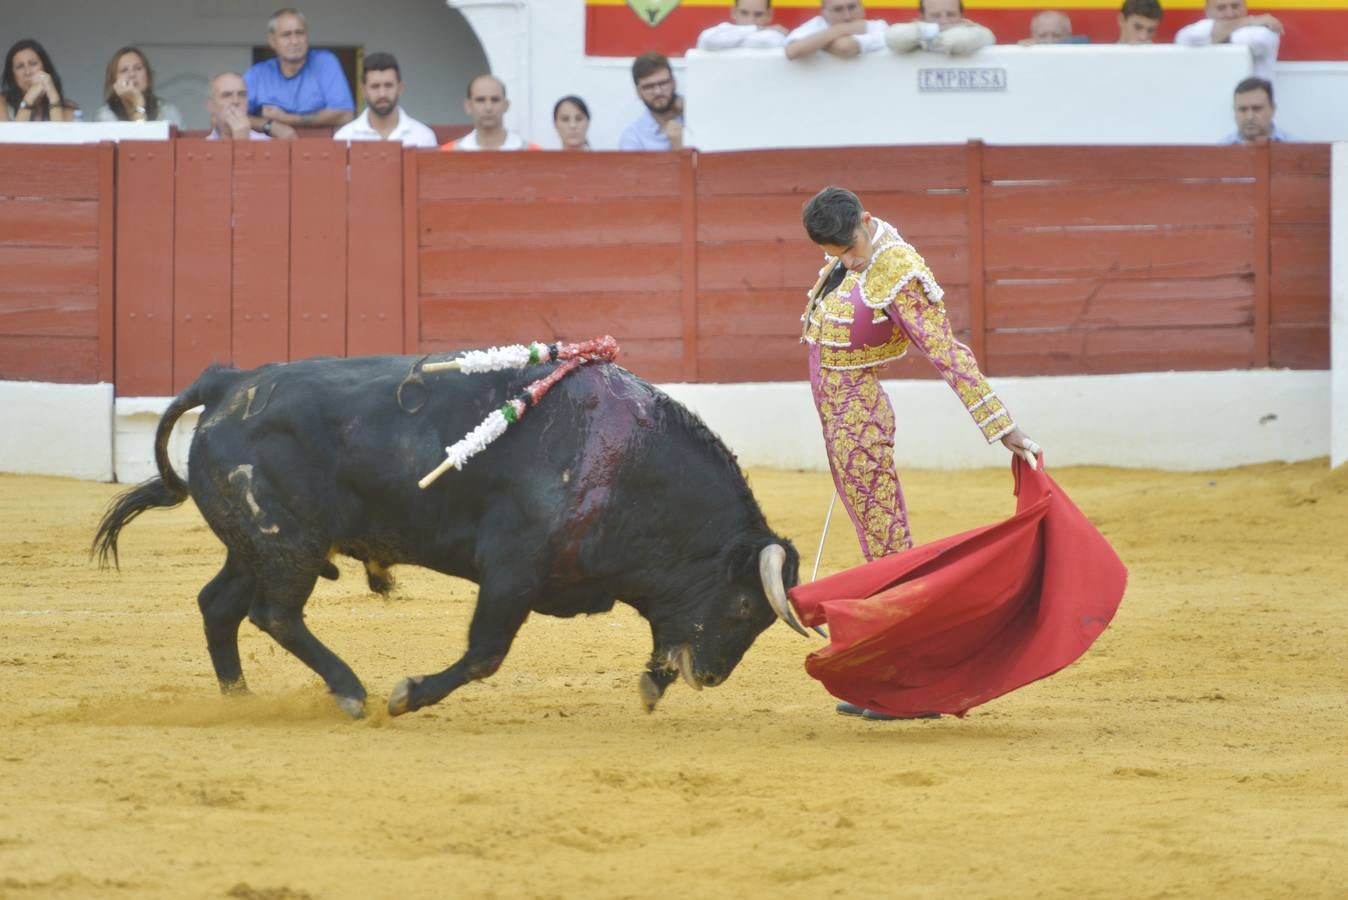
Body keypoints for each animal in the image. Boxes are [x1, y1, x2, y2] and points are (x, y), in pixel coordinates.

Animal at [97, 355, 808, 716]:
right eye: (743, 609)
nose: (710, 677)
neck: (624, 464)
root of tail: (227, 383)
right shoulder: (511, 570)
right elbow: (485, 653)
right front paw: (407, 695)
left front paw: (653, 683)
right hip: (285, 546)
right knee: (275, 614)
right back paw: (350, 690)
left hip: (255, 545)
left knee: (219, 605)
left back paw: (238, 697)